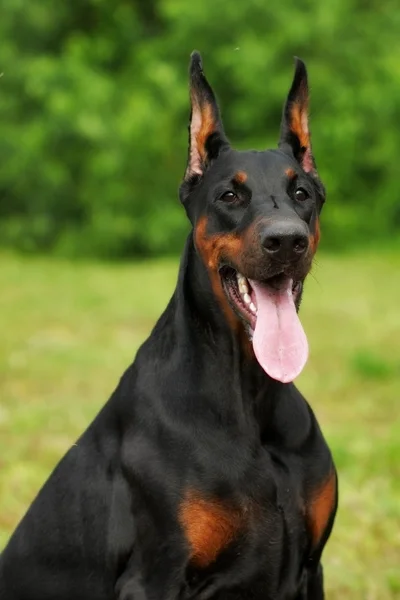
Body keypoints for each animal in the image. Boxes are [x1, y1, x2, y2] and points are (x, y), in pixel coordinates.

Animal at [0, 52, 338, 600]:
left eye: (301, 192)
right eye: (229, 195)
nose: (287, 240)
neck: (250, 396)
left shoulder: (311, 568)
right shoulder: (154, 578)